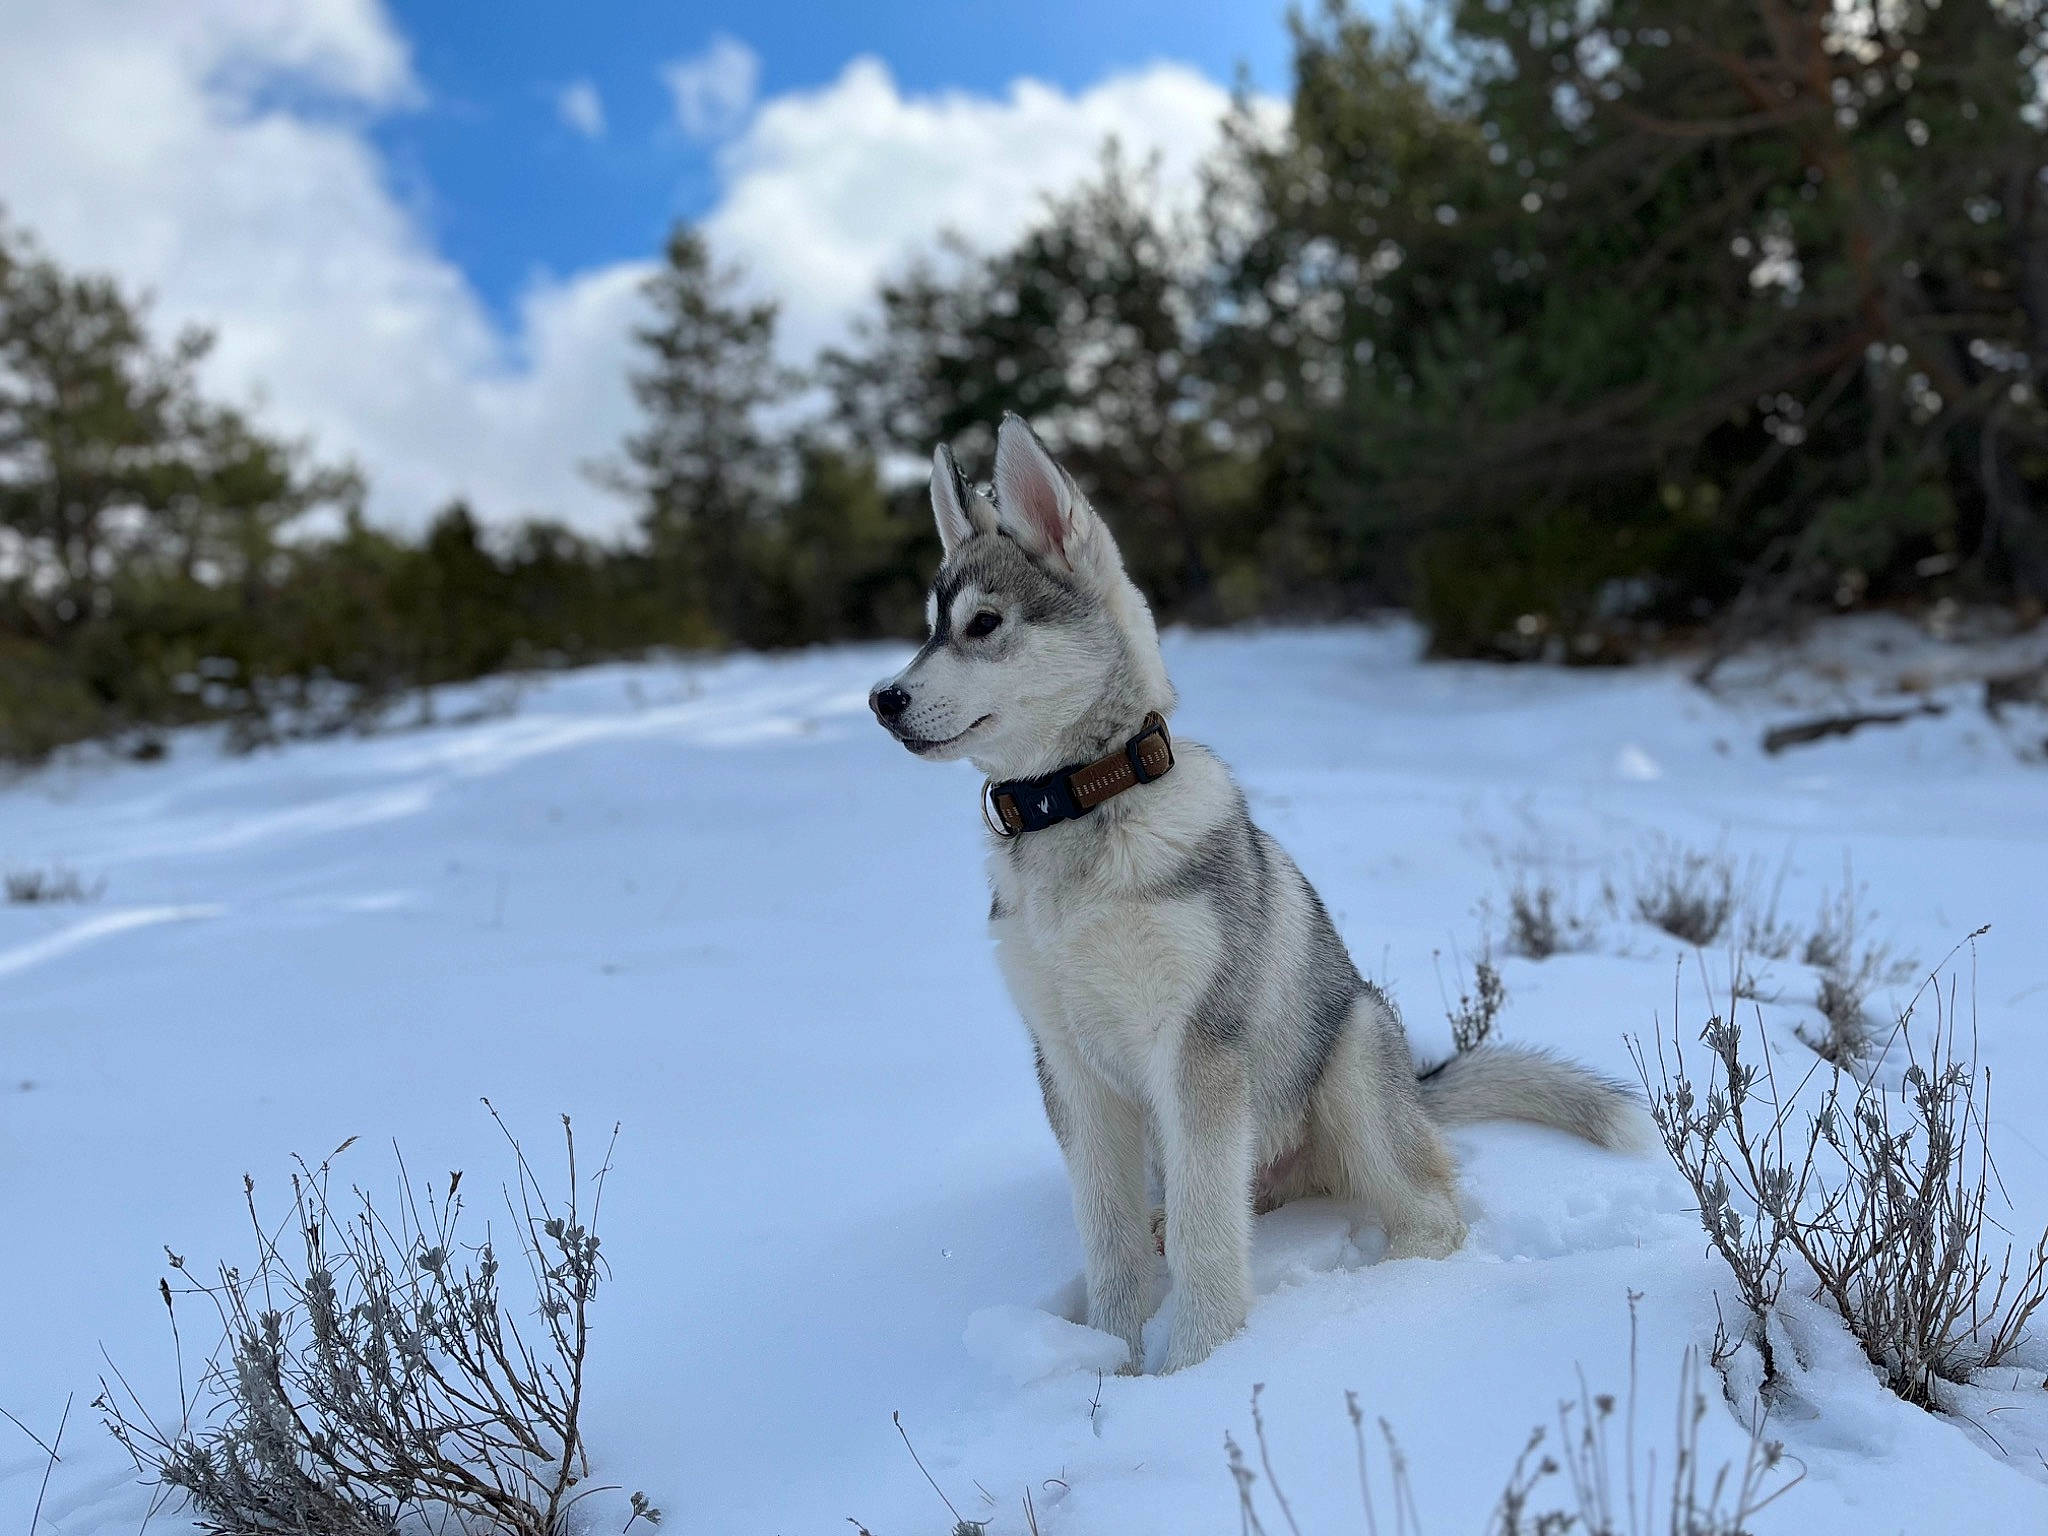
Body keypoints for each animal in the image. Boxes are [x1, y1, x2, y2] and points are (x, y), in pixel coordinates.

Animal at [869, 414, 1646, 1374]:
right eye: (929, 630)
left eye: (984, 624)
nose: (883, 697)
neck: (1079, 807)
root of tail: (1416, 1085)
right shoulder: (1068, 1066)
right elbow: (1109, 1241)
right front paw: (1109, 1364)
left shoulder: (1198, 1048)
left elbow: (1210, 1239)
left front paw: (1195, 1370)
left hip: (1350, 1054)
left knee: (1426, 1209)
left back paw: (1390, 1295)